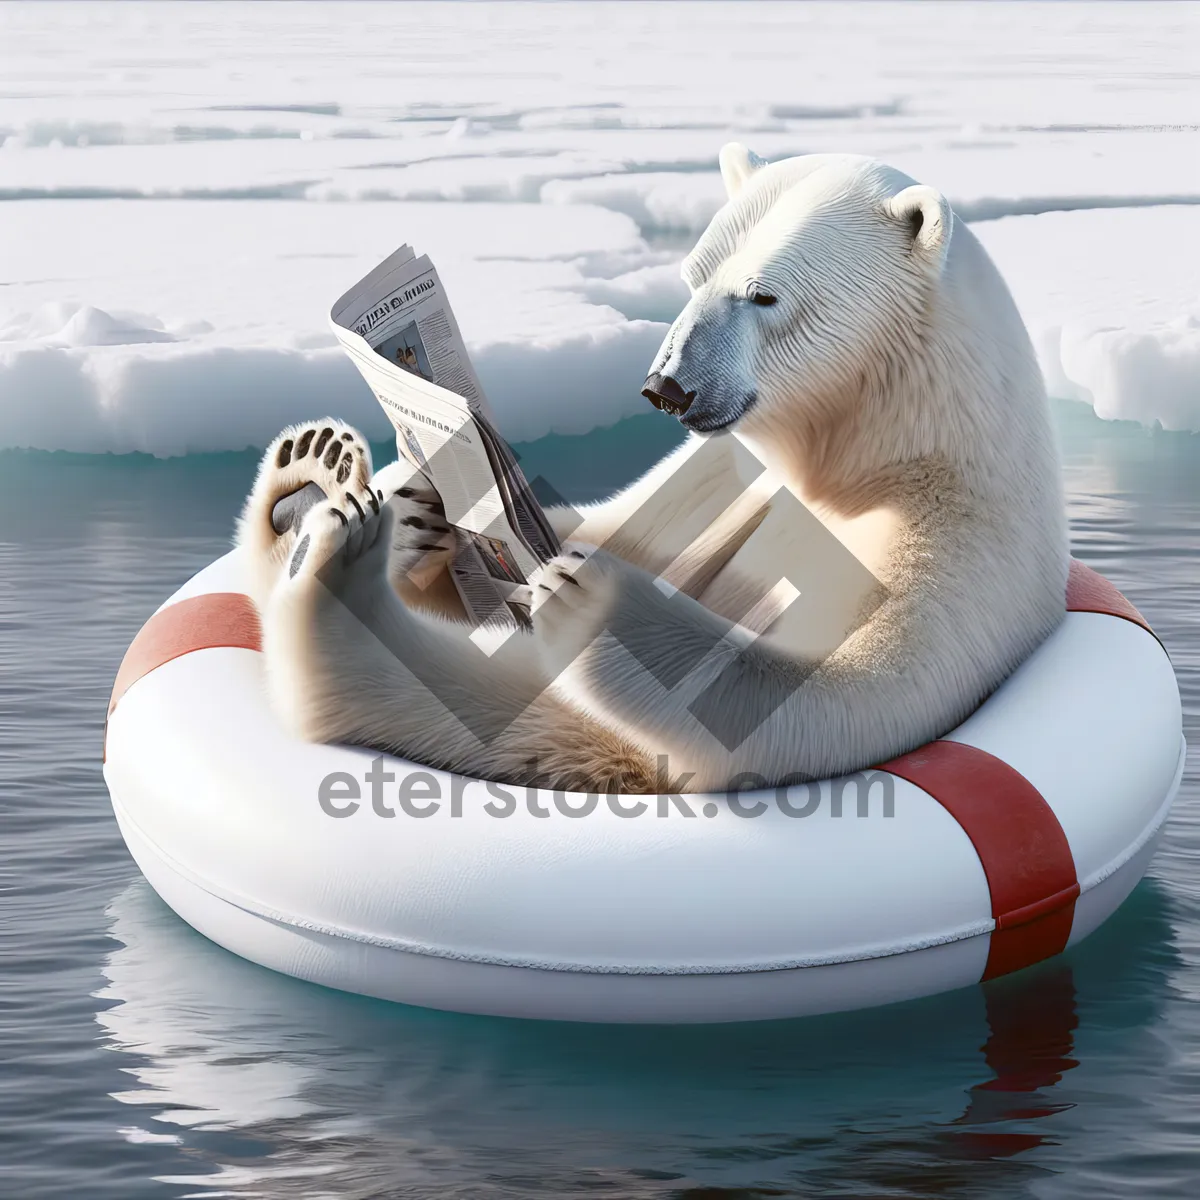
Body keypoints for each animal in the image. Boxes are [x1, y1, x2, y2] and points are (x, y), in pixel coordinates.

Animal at [234, 145, 1070, 792]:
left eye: (764, 294)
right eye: (693, 272)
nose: (667, 386)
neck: (874, 450)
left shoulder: (955, 535)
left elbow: (827, 704)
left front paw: (585, 595)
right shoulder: (721, 474)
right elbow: (610, 525)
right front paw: (426, 513)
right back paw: (312, 478)